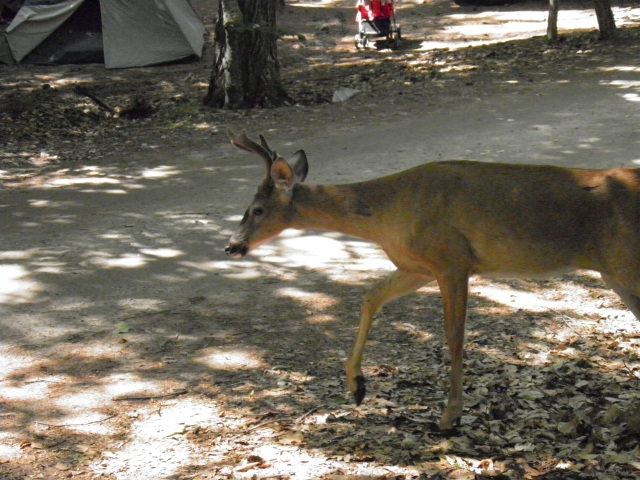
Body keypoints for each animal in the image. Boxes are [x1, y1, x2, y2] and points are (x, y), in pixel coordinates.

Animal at [224, 128, 640, 432]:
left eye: (257, 209)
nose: (232, 245)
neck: (387, 213)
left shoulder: (452, 260)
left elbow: (454, 337)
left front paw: (449, 416)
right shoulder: (416, 266)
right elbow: (371, 297)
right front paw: (357, 386)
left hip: (625, 262)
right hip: (616, 272)